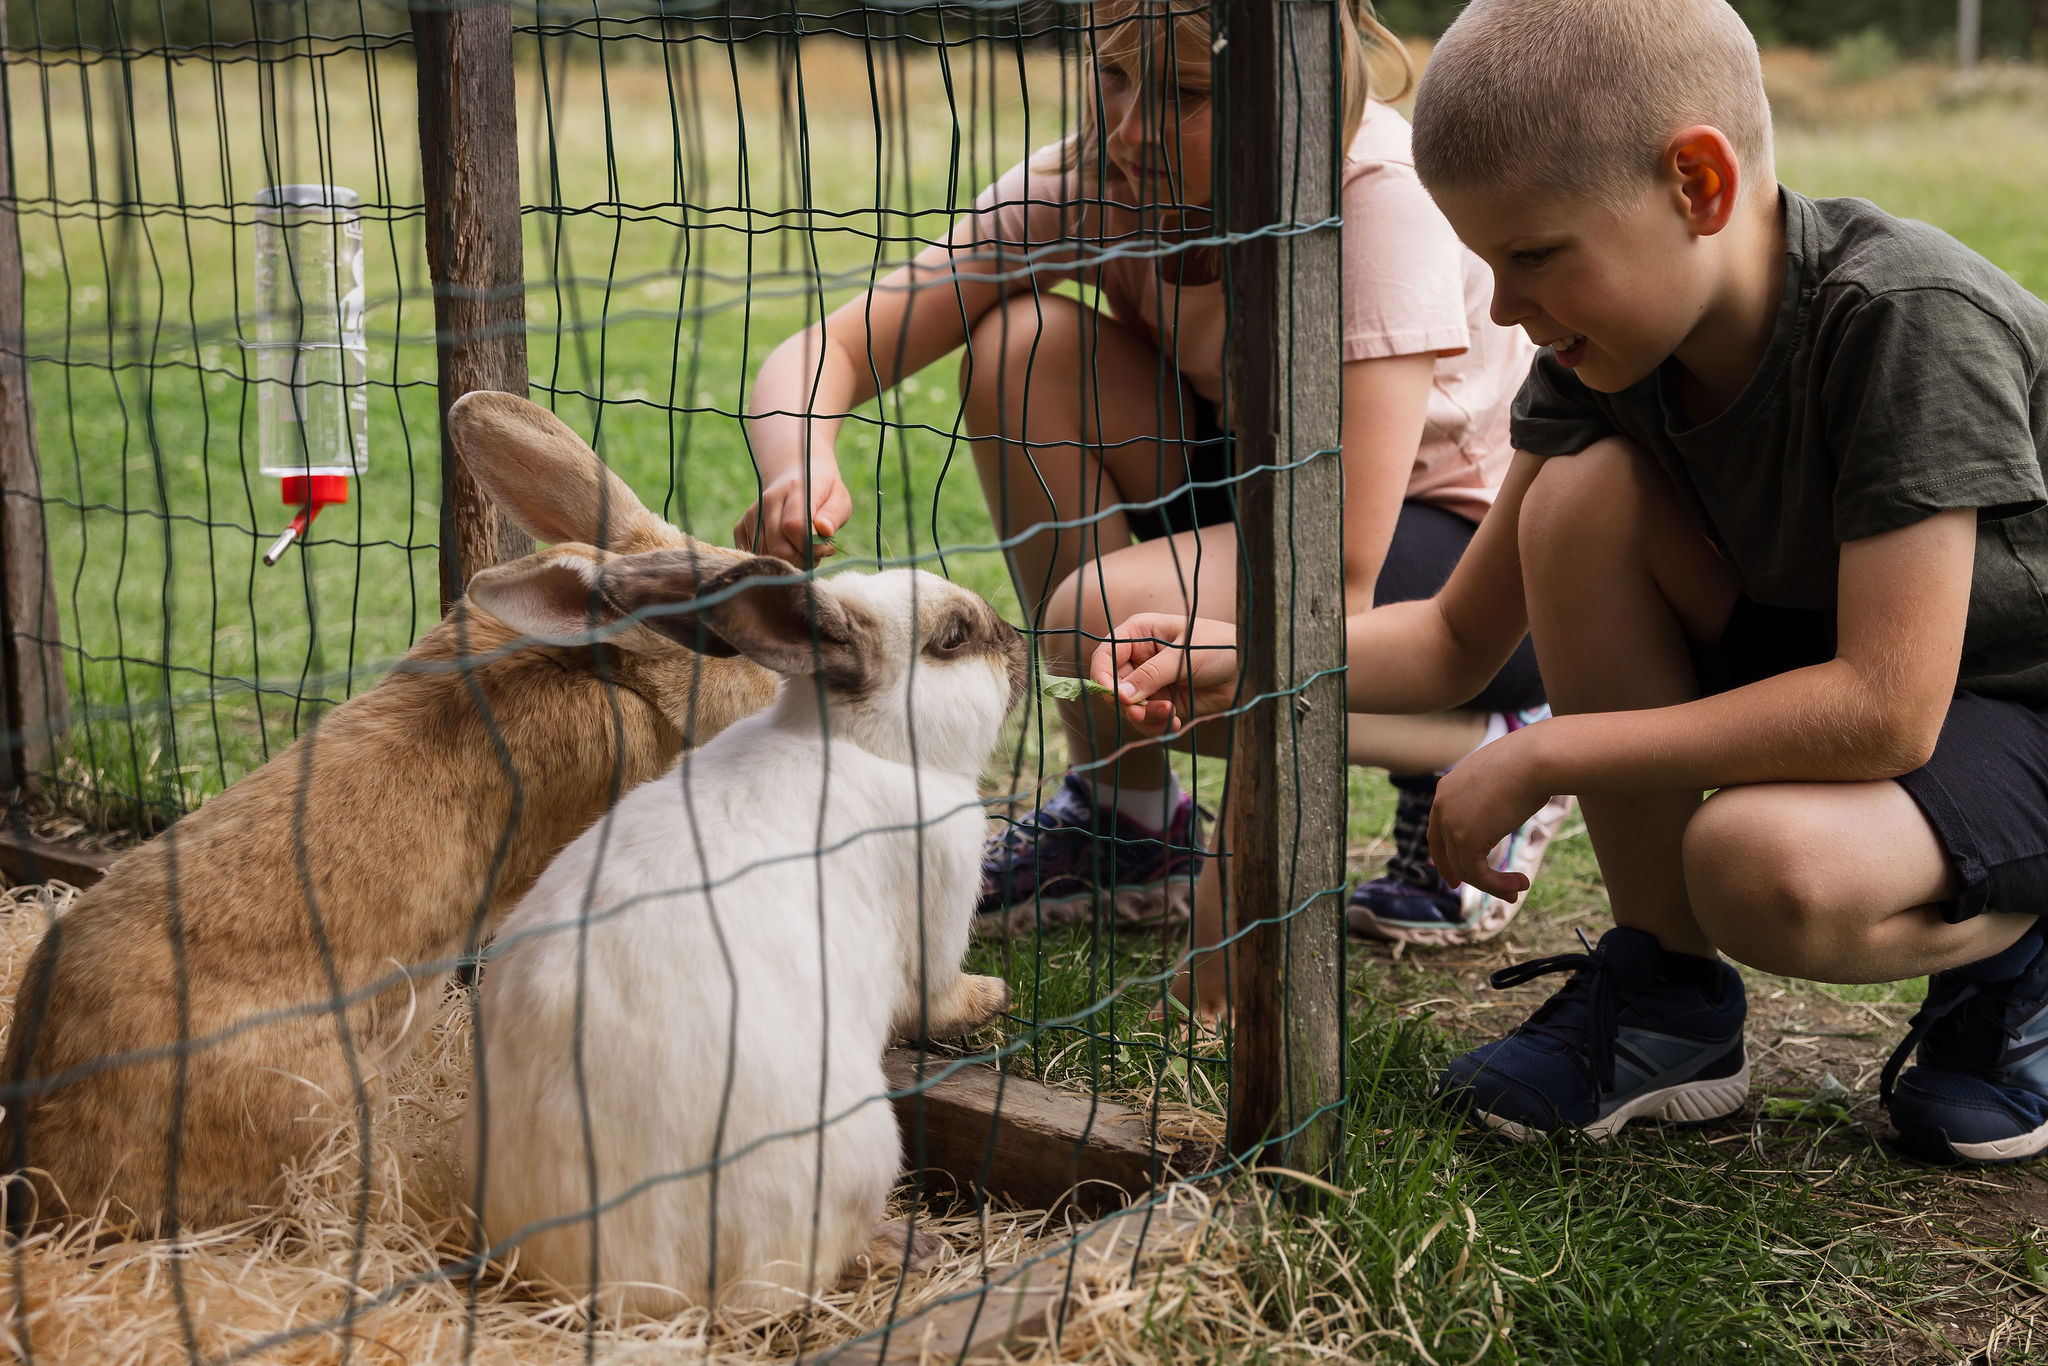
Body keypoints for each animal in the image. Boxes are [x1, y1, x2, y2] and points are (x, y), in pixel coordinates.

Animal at [466, 561, 1024, 1318]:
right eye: (955, 638)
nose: (1020, 646)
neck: (859, 742)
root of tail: (617, 1285)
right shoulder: (934, 922)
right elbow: (935, 997)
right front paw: (993, 996)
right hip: (858, 1149)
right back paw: (903, 1249)